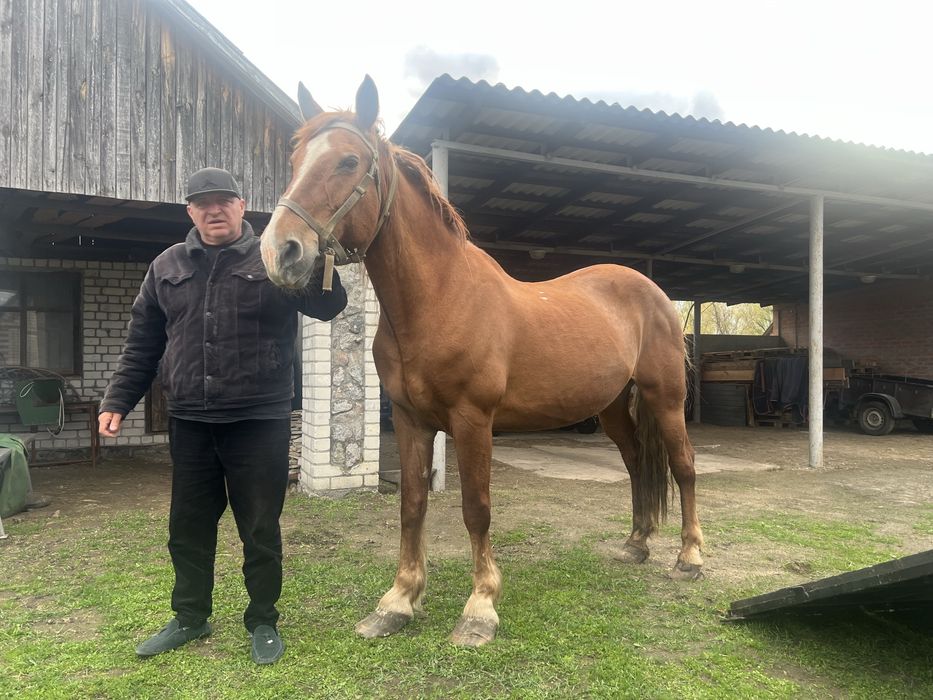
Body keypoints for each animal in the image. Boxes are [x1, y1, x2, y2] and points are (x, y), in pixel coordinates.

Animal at [260, 76, 705, 647]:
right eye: (296, 159)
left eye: (349, 161)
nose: (280, 251)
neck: (439, 299)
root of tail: (655, 292)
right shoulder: (411, 420)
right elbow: (412, 505)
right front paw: (397, 601)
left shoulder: (473, 421)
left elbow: (476, 509)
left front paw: (480, 609)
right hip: (610, 408)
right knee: (634, 464)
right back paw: (636, 542)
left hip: (664, 398)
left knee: (684, 466)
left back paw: (689, 557)